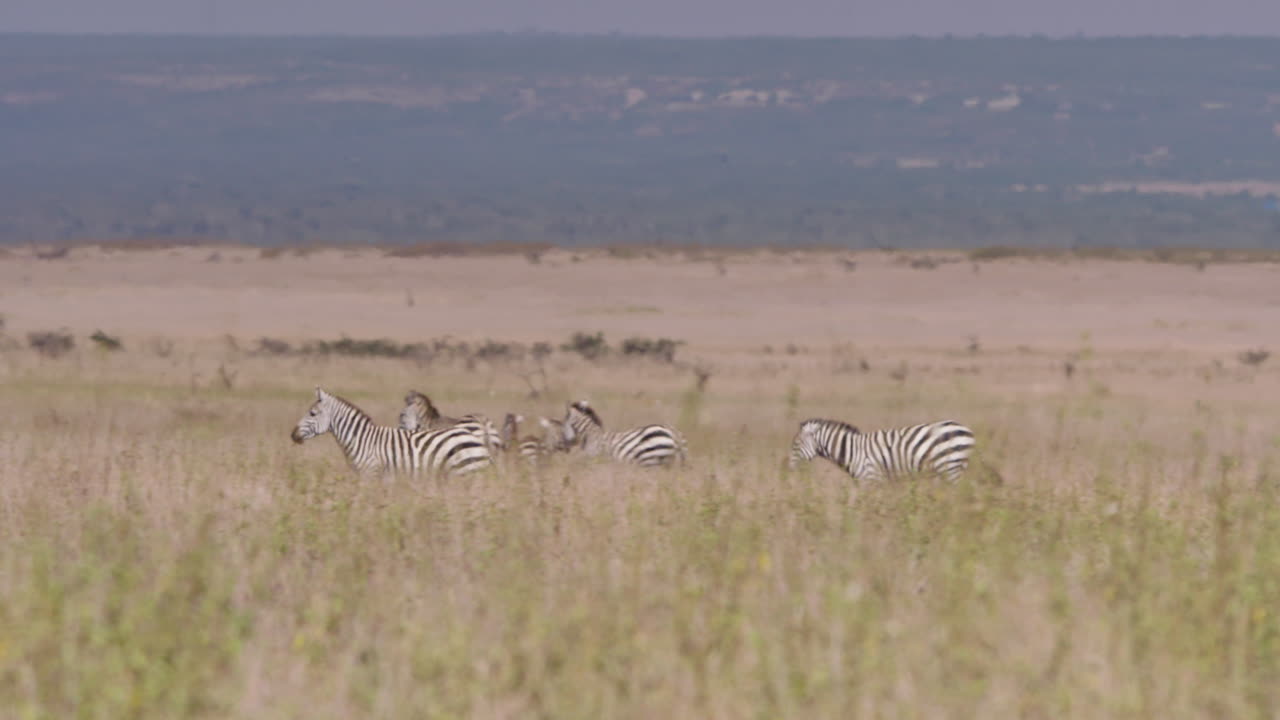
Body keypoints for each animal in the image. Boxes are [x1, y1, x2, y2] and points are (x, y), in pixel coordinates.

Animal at [788, 418, 975, 482]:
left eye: (796, 444)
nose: (787, 467)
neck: (851, 451)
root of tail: (967, 429)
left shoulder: (870, 478)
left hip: (951, 467)